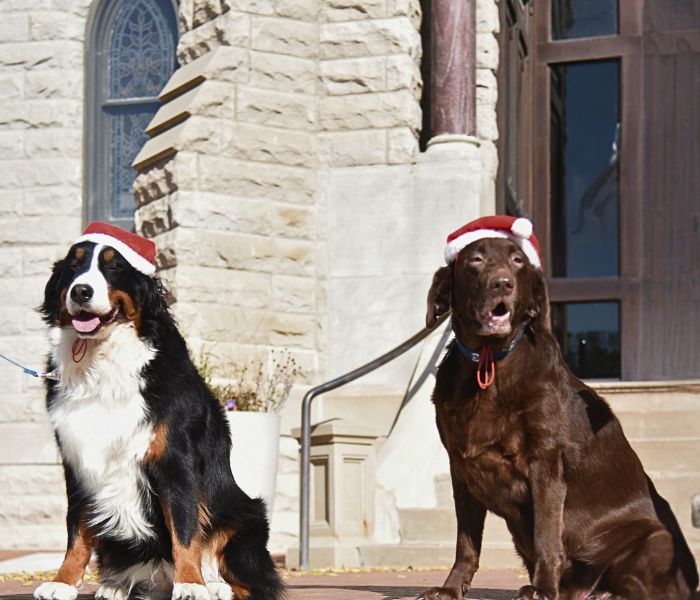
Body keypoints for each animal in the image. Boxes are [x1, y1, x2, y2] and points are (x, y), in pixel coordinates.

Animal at [34, 223, 284, 600]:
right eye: (73, 266)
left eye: (114, 267)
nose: (80, 291)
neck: (103, 365)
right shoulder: (77, 460)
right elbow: (76, 529)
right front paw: (62, 582)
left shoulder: (174, 459)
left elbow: (183, 528)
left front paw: (191, 583)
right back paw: (115, 586)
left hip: (246, 520)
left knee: (252, 581)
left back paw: (214, 586)